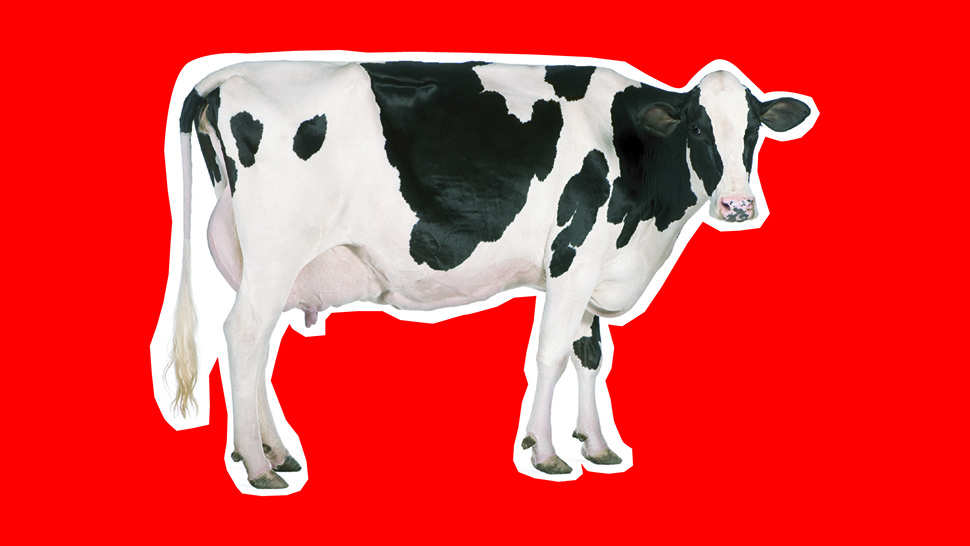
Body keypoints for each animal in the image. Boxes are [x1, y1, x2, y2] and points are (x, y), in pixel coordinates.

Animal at [153, 54, 814, 492]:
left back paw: (274, 450)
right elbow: (551, 354)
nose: (738, 206)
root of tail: (224, 75)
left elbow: (590, 355)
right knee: (243, 335)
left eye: (753, 129)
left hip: (257, 260)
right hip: (275, 250)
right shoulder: (572, 255)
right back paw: (258, 464)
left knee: (256, 346)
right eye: (697, 127)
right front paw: (545, 452)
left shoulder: (594, 271)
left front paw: (598, 446)